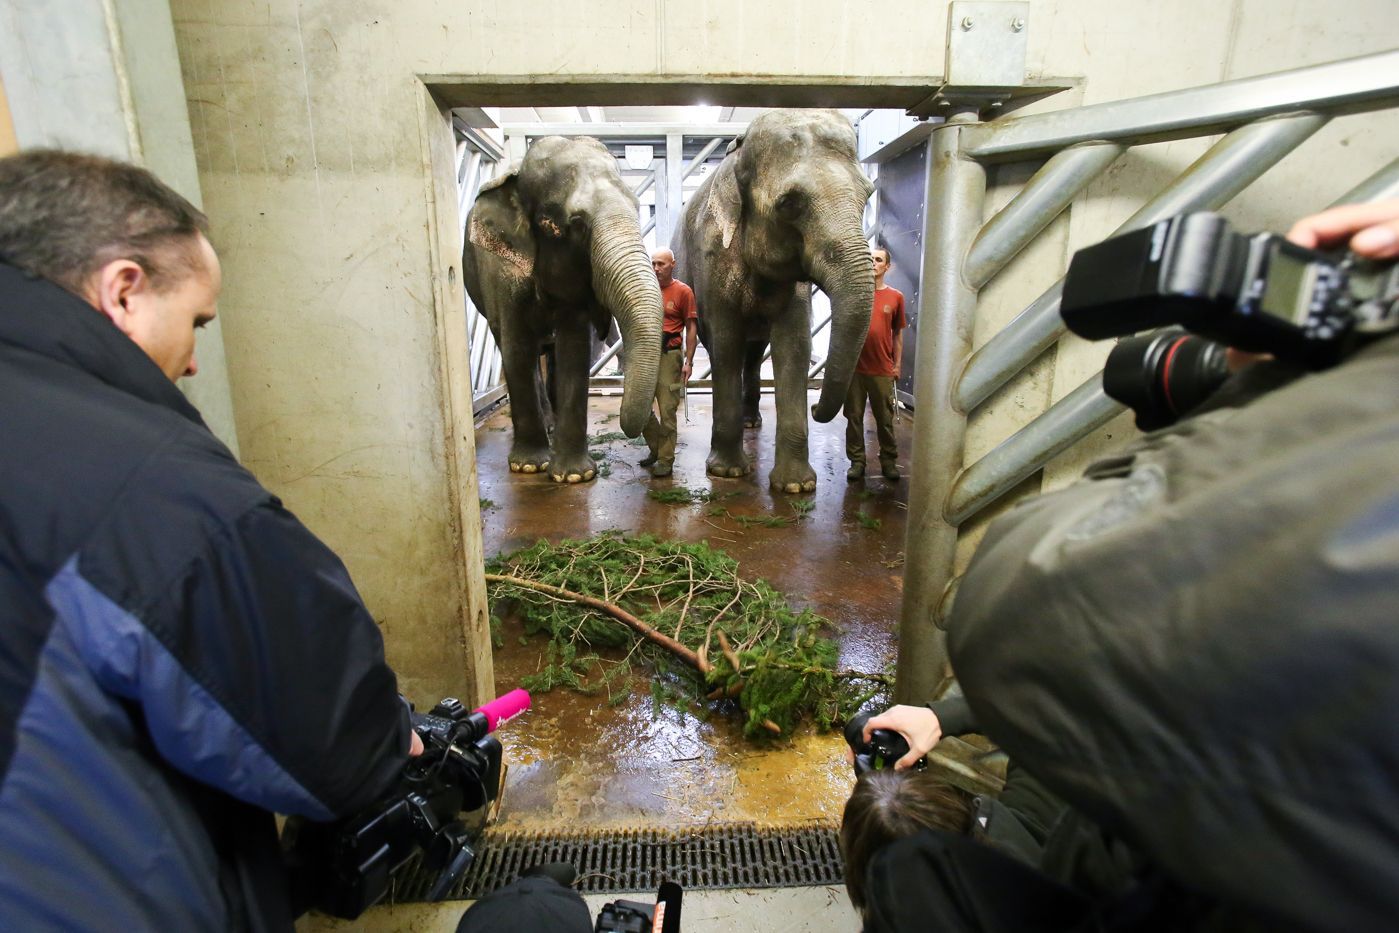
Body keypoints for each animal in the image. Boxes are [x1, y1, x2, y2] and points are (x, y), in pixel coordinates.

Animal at [458, 139, 654, 489]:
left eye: (636, 205)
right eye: (573, 225)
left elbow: (573, 347)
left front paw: (574, 476)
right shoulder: (498, 266)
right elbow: (516, 346)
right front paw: (528, 467)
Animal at [668, 107, 872, 495]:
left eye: (868, 195)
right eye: (789, 204)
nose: (816, 411)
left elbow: (794, 345)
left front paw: (796, 487)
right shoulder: (711, 255)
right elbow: (725, 342)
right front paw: (728, 473)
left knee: (754, 352)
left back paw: (752, 423)